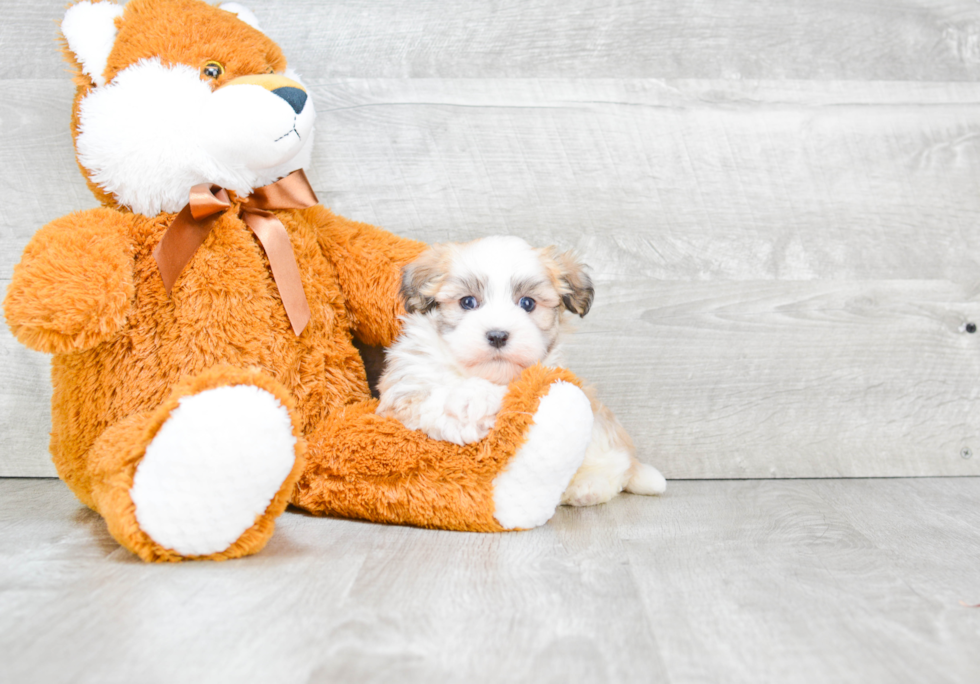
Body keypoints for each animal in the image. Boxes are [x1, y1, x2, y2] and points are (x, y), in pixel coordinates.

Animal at [376, 238, 668, 504]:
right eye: (468, 302)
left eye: (527, 303)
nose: (497, 335)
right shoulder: (405, 383)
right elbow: (424, 398)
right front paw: (463, 417)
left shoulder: (540, 375)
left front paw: (474, 401)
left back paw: (586, 487)